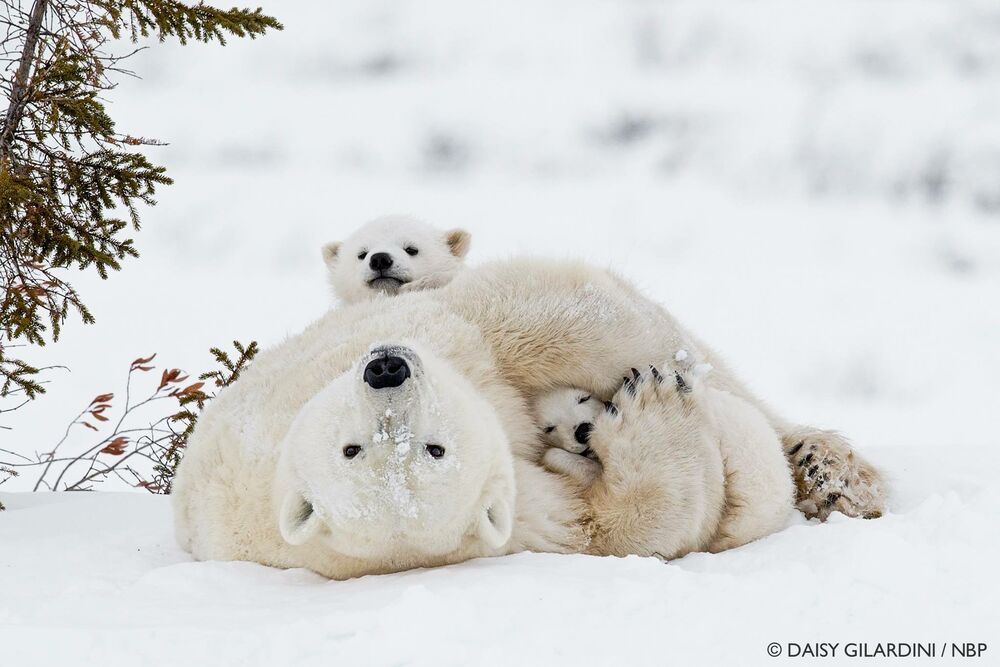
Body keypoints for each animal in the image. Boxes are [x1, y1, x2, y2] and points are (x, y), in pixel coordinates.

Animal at [172, 256, 884, 580]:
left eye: (429, 446)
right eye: (356, 450)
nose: (387, 369)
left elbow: (543, 321)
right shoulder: (518, 520)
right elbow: (619, 524)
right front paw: (650, 405)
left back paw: (831, 472)